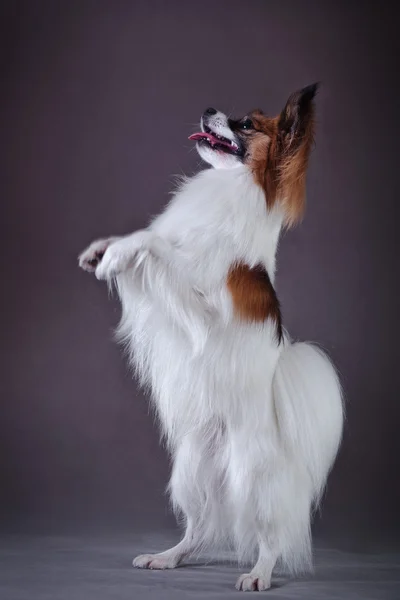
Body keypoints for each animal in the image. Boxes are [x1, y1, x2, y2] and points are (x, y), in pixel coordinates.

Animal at [78, 84, 344, 592]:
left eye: (247, 125)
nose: (208, 109)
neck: (229, 188)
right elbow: (152, 237)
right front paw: (101, 250)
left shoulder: (204, 306)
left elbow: (155, 243)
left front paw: (118, 254)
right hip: (192, 466)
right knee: (202, 526)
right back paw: (168, 557)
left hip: (251, 473)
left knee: (269, 533)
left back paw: (259, 574)